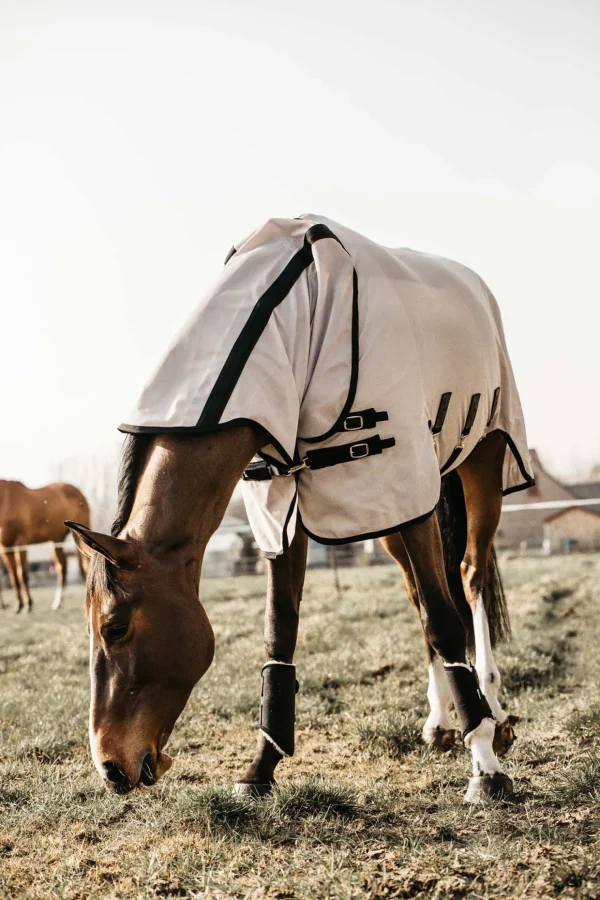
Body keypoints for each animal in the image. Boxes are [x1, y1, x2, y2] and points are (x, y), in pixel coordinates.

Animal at [0, 482, 90, 616]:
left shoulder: (21, 543)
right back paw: (57, 603)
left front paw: (29, 605)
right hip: (57, 541)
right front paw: (19, 606)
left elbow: (23, 574)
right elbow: (14, 577)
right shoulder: (6, 548)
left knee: (85, 566)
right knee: (62, 568)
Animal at [67, 428, 516, 800]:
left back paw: (492, 708)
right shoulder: (281, 499)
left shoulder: (406, 481)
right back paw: (441, 721)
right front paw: (261, 768)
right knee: (417, 595)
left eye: (115, 628)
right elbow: (280, 627)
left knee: (469, 576)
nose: (108, 766)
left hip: (478, 464)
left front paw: (485, 767)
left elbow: (443, 621)